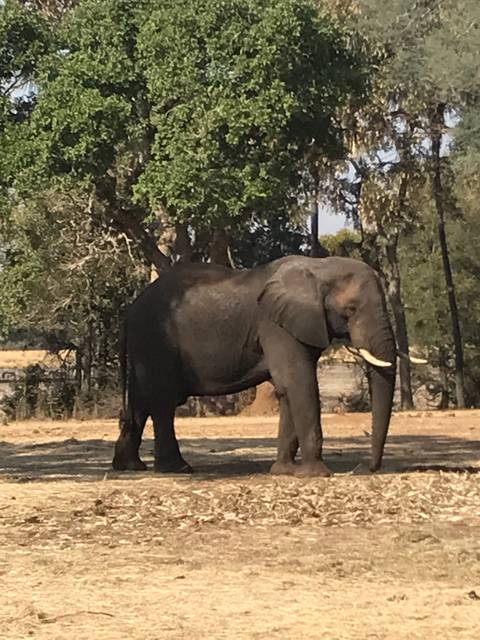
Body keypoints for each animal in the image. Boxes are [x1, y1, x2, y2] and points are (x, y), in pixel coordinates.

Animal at [113, 255, 398, 477]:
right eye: (350, 310)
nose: (367, 468)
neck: (320, 266)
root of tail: (130, 311)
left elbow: (287, 387)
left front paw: (283, 471)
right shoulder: (274, 325)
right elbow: (298, 381)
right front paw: (316, 474)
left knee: (140, 401)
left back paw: (130, 466)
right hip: (156, 341)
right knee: (162, 402)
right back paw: (177, 469)